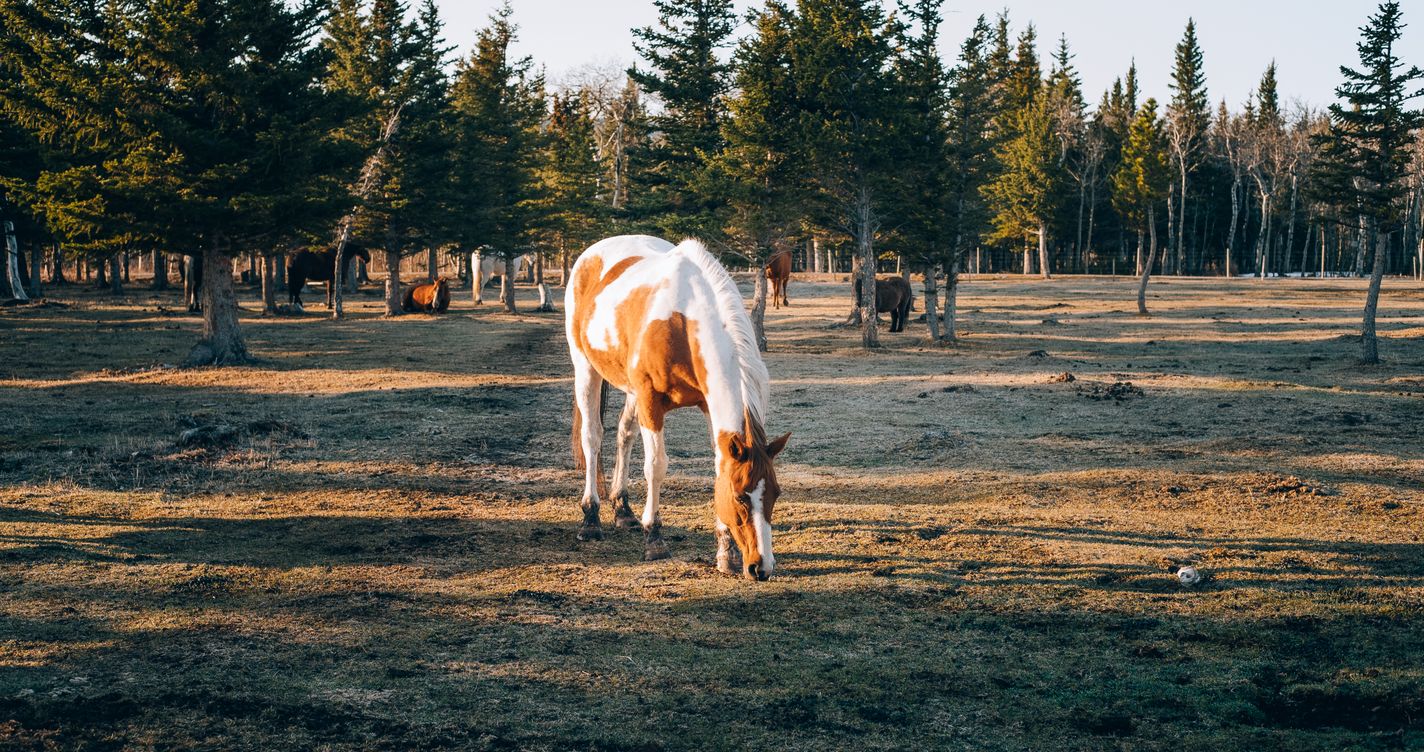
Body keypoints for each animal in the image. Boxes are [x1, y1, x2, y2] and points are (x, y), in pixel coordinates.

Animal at [566, 235, 790, 581]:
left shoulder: (708, 405)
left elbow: (718, 465)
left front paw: (726, 554)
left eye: (775, 494)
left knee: (624, 434)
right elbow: (656, 466)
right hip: (586, 368)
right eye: (740, 496)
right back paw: (590, 519)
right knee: (592, 438)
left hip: (629, 389)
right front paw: (655, 539)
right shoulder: (650, 400)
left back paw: (623, 509)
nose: (761, 567)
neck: (683, 320)